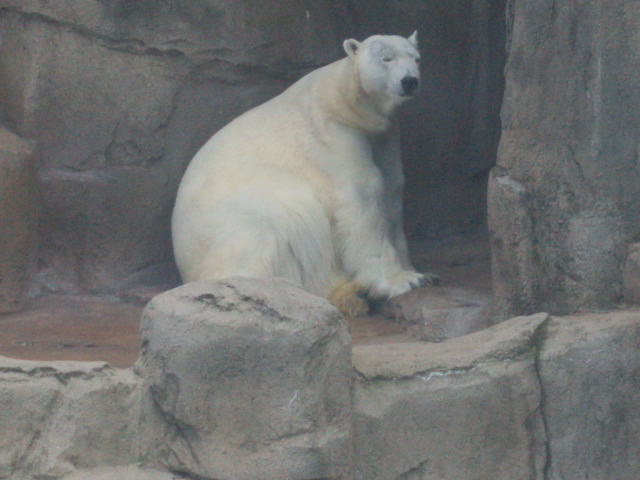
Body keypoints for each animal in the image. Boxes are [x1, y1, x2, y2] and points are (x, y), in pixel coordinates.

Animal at [172, 32, 438, 317]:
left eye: (416, 58)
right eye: (386, 58)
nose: (409, 81)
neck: (345, 101)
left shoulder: (383, 138)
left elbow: (391, 194)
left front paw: (422, 273)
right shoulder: (333, 136)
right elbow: (362, 199)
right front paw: (404, 280)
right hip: (234, 221)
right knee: (258, 237)